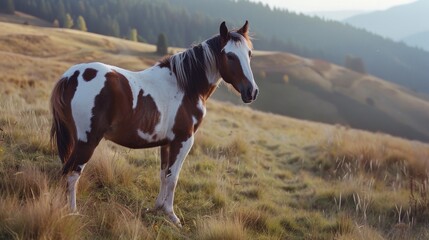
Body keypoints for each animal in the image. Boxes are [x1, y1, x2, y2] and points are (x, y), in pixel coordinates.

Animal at [50, 21, 258, 227]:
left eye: (249, 54)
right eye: (230, 55)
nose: (252, 92)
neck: (186, 87)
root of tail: (71, 76)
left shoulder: (167, 143)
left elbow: (163, 175)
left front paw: (157, 208)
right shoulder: (183, 141)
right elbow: (173, 177)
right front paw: (171, 215)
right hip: (87, 142)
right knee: (71, 174)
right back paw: (73, 212)